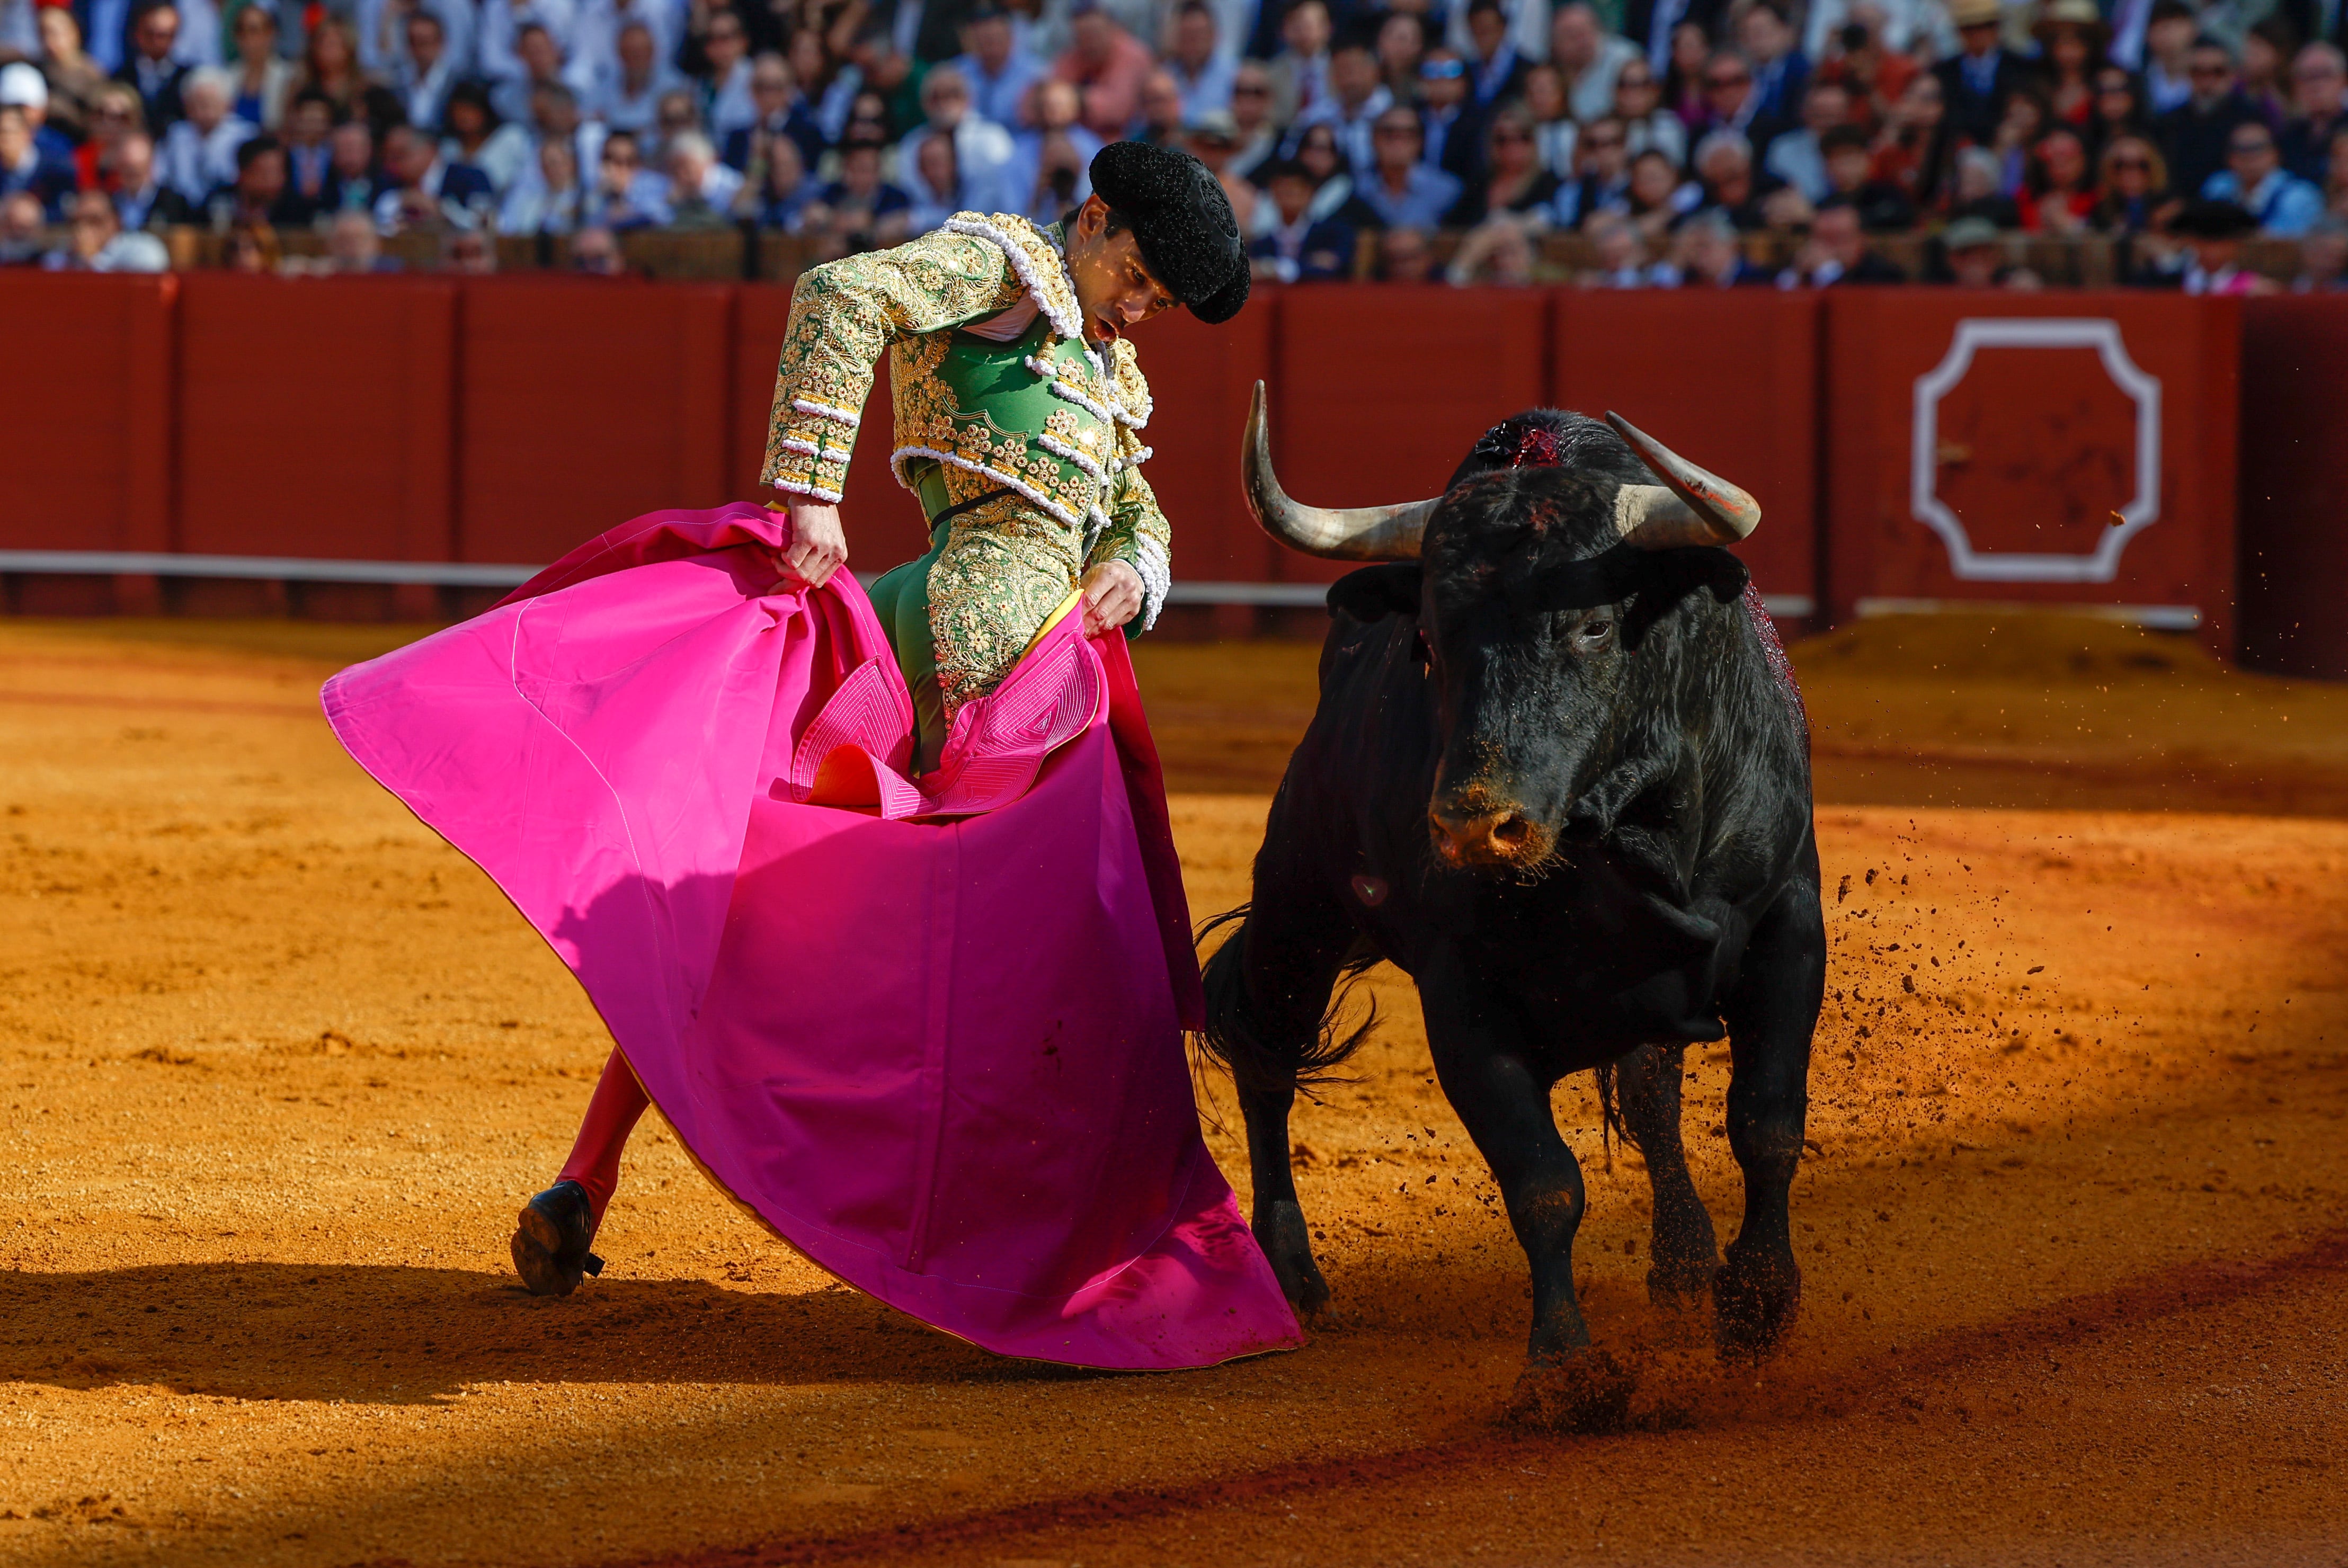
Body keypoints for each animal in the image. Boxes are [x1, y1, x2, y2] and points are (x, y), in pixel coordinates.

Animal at [1202, 399, 1822, 1427]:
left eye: (1595, 625)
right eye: (1427, 640)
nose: (1471, 824)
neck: (1625, 824)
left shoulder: (1787, 930)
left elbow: (1765, 1121)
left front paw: (1755, 1307)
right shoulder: (1464, 996)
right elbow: (1541, 1183)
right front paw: (1564, 1371)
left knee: (1651, 1094)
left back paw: (1685, 1265)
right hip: (1299, 903)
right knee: (1265, 1057)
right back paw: (1290, 1273)